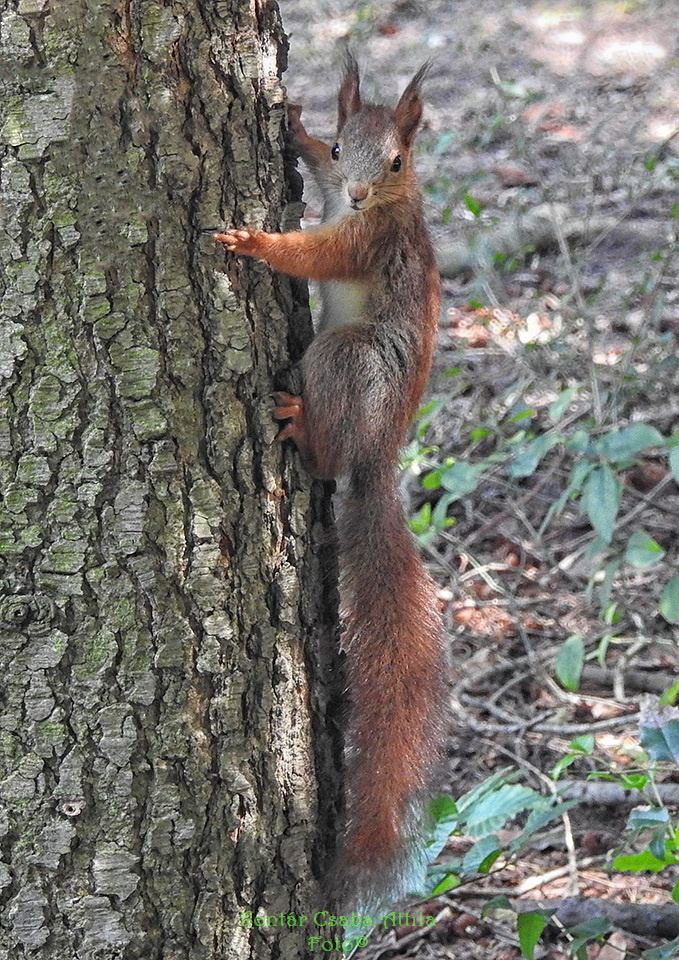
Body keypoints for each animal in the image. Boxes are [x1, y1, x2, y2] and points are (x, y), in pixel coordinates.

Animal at [215, 56, 448, 920]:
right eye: (346, 145)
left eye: (398, 162)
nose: (354, 191)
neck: (380, 205)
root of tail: (378, 455)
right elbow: (306, 166)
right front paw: (293, 120)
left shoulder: (365, 240)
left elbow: (314, 257)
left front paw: (253, 240)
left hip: (347, 358)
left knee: (322, 458)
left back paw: (303, 432)